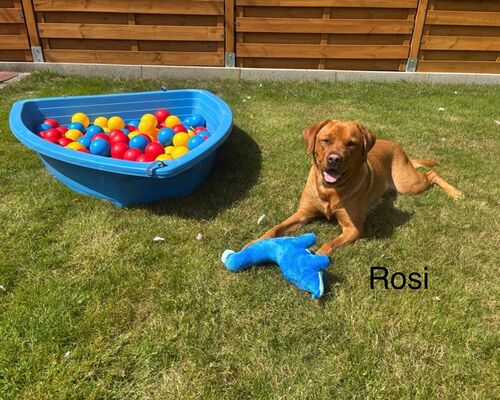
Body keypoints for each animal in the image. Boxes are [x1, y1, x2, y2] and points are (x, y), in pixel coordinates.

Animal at [253, 119, 462, 256]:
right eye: (326, 140)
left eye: (351, 144)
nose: (334, 159)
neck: (330, 190)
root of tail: (397, 145)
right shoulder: (303, 214)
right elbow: (274, 229)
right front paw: (253, 244)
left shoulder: (353, 228)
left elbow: (327, 246)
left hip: (408, 184)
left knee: (432, 174)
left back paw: (455, 193)